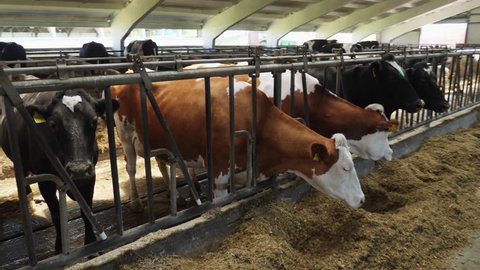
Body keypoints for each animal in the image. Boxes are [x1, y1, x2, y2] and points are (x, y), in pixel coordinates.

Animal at [0, 89, 119, 253]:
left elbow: (87, 210)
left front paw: (91, 242)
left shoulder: (89, 176)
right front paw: (59, 248)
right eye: (52, 124)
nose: (78, 169)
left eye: (94, 121)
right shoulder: (46, 182)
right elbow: (56, 216)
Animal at [110, 76, 366, 211]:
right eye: (346, 168)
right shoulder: (219, 178)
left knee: (162, 162)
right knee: (130, 167)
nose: (363, 199)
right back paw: (136, 202)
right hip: (125, 135)